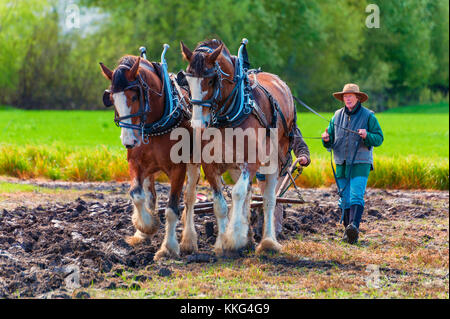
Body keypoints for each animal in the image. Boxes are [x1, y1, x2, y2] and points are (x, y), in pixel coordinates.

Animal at [101, 46, 201, 262]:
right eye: (112, 99)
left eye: (134, 96)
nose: (128, 141)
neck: (156, 123)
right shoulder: (135, 163)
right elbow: (137, 195)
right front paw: (146, 226)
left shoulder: (178, 168)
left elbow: (172, 208)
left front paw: (168, 248)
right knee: (150, 194)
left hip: (194, 163)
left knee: (189, 198)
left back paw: (189, 240)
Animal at [181, 39, 298, 255]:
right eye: (188, 80)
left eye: (212, 80)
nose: (197, 124)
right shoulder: (210, 165)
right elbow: (220, 203)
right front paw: (222, 243)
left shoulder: (251, 161)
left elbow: (237, 194)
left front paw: (233, 238)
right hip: (235, 165)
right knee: (248, 194)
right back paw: (248, 238)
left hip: (276, 159)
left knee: (269, 198)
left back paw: (268, 241)